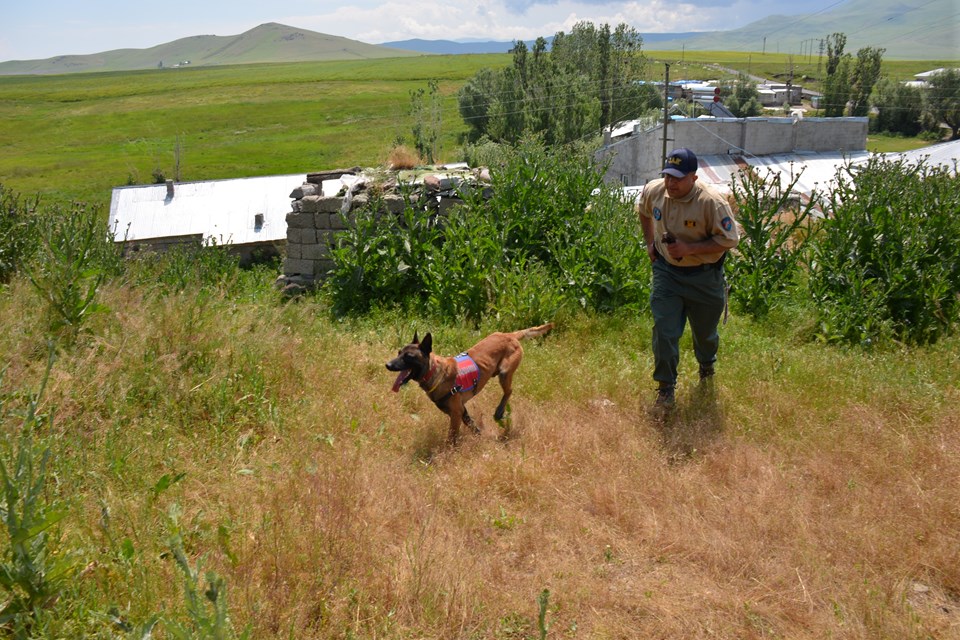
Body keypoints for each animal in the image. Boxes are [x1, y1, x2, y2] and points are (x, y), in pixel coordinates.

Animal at [386, 324, 556, 444]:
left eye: (408, 356)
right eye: (399, 353)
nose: (387, 365)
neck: (435, 371)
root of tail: (509, 335)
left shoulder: (455, 414)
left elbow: (451, 438)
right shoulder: (462, 410)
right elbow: (472, 425)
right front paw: (480, 437)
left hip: (504, 373)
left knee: (509, 391)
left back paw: (499, 411)